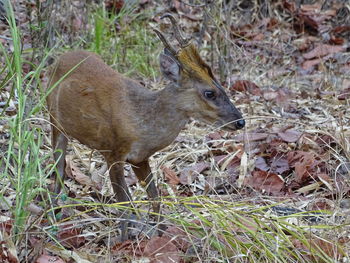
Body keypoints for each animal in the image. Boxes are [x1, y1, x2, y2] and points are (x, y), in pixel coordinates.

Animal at [46, 13, 245, 241]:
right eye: (209, 92)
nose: (240, 121)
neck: (142, 120)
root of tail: (59, 58)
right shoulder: (114, 151)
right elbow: (125, 204)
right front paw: (123, 242)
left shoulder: (140, 158)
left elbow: (155, 198)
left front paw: (161, 234)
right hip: (54, 121)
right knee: (59, 170)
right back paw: (52, 218)